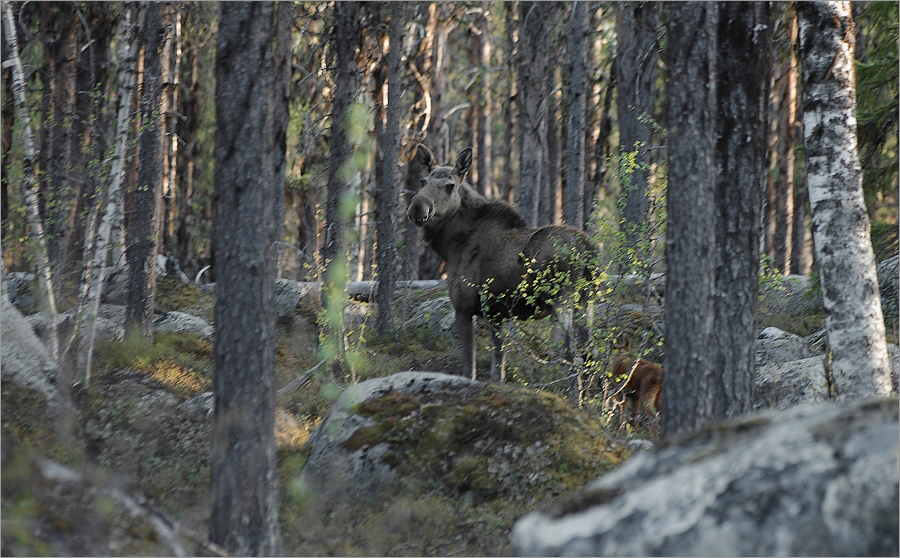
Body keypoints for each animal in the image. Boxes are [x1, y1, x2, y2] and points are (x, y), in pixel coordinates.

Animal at [408, 144, 596, 402]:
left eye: (450, 185)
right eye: (422, 181)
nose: (417, 208)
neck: (451, 245)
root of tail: (589, 251)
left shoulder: (465, 307)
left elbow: (470, 368)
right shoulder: (497, 313)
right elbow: (499, 369)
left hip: (563, 301)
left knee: (571, 355)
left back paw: (575, 402)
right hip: (587, 302)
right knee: (590, 355)